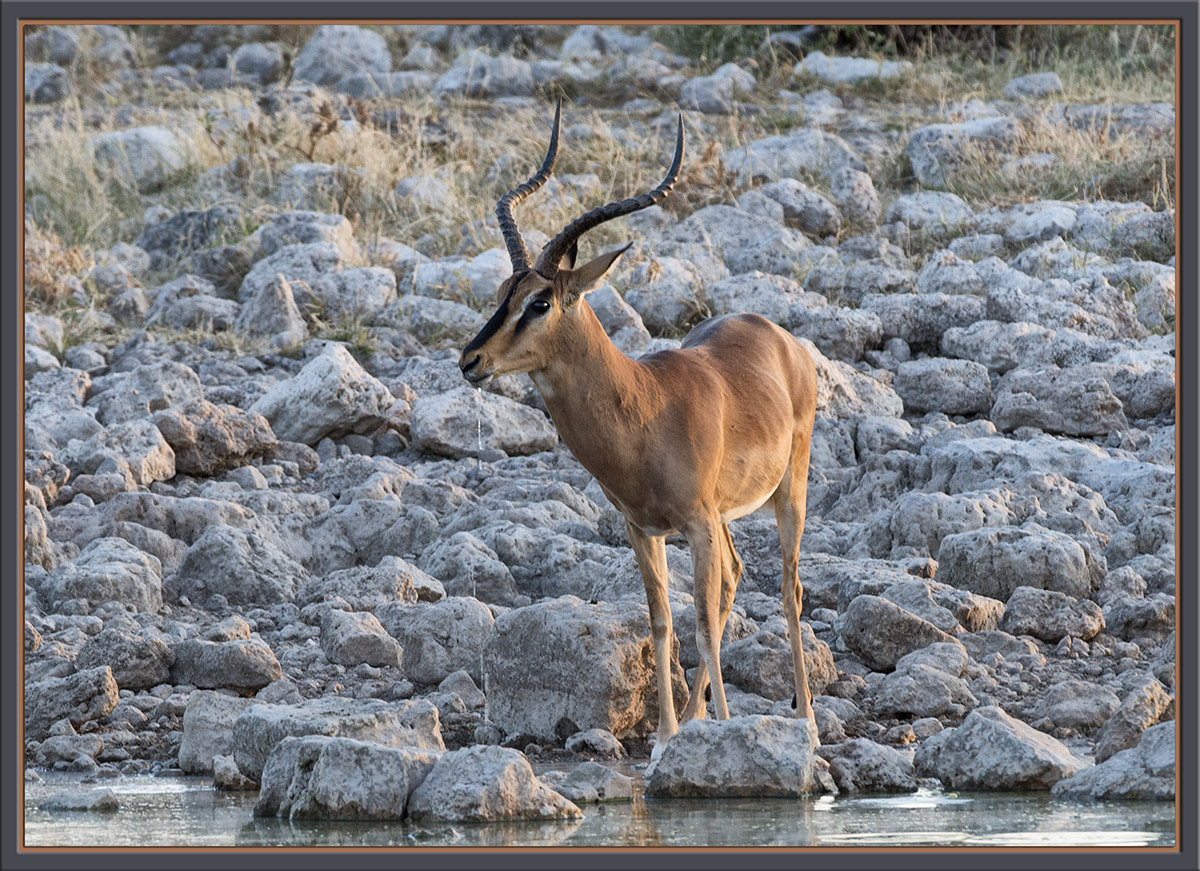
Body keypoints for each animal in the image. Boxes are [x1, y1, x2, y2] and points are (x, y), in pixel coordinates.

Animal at [459, 100, 818, 759]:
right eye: (503, 292)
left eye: (541, 302)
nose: (471, 360)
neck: (643, 408)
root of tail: (778, 334)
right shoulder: (643, 528)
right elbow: (662, 622)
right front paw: (670, 736)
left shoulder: (695, 524)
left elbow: (699, 624)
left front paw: (722, 730)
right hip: (724, 518)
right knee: (734, 576)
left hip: (788, 492)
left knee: (787, 587)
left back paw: (804, 719)